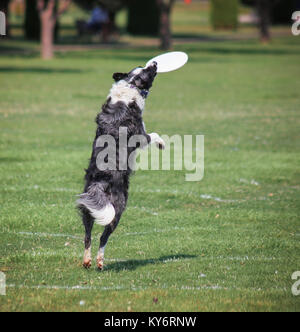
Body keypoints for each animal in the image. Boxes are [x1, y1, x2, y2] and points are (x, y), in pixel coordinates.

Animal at [77, 62, 165, 270]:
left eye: (143, 66)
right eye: (148, 71)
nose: (155, 63)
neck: (130, 85)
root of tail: (100, 181)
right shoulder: (141, 135)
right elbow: (154, 134)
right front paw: (161, 144)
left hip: (88, 207)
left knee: (88, 236)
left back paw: (87, 261)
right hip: (118, 208)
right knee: (103, 238)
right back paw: (100, 262)